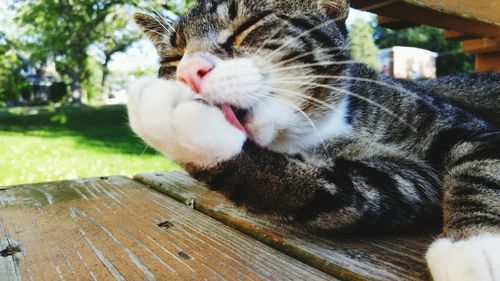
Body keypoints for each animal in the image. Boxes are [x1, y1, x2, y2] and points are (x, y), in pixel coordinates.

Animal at [127, 1, 498, 278]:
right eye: (173, 57)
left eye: (248, 25)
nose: (187, 72)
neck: (317, 127)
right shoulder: (408, 184)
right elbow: (333, 192)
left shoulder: (462, 125)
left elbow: (480, 167)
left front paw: (475, 244)